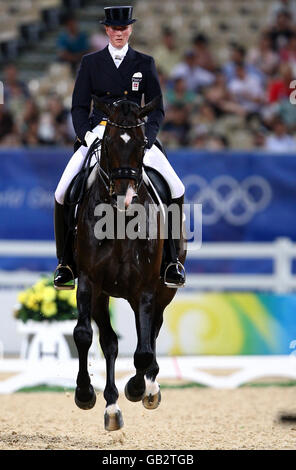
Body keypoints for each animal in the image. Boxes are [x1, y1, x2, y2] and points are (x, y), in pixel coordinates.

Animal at [73, 97, 186, 432]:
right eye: (108, 143)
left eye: (141, 144)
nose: (125, 197)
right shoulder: (89, 283)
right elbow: (84, 335)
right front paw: (85, 394)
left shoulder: (146, 289)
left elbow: (144, 348)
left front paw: (138, 388)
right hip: (103, 296)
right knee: (109, 342)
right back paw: (111, 406)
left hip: (163, 291)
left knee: (153, 331)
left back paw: (149, 387)